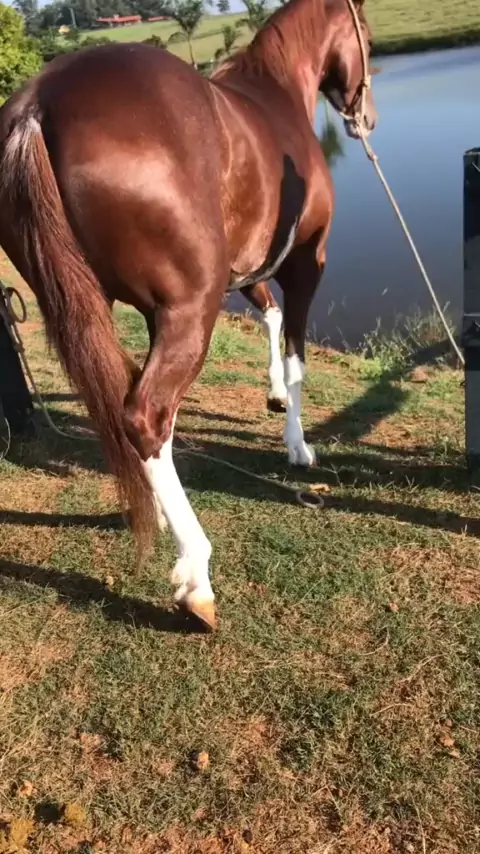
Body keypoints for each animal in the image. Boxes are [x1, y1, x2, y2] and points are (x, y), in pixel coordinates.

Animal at [0, 0, 377, 631]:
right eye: (367, 34)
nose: (365, 117)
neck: (275, 96)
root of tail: (38, 104)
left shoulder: (240, 274)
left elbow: (270, 320)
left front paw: (273, 396)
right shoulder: (304, 264)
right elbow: (297, 353)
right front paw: (298, 444)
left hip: (96, 307)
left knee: (121, 405)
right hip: (189, 310)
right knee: (146, 415)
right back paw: (195, 575)